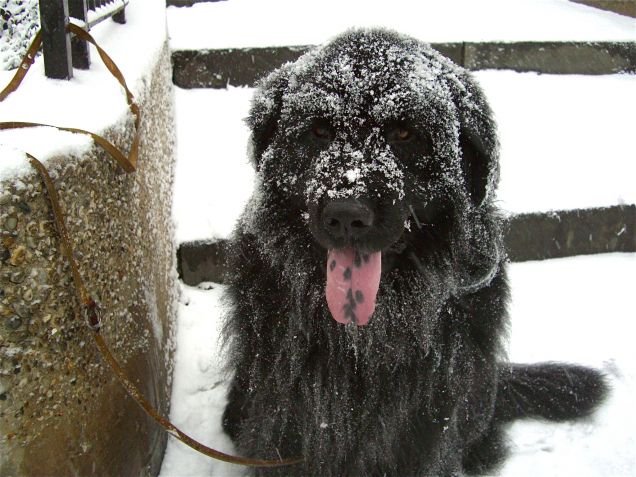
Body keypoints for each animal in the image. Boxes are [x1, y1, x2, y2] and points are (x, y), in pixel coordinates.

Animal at [222, 29, 608, 476]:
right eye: (318, 131)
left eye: (403, 135)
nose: (346, 214)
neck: (364, 336)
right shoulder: (287, 415)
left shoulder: (429, 419)